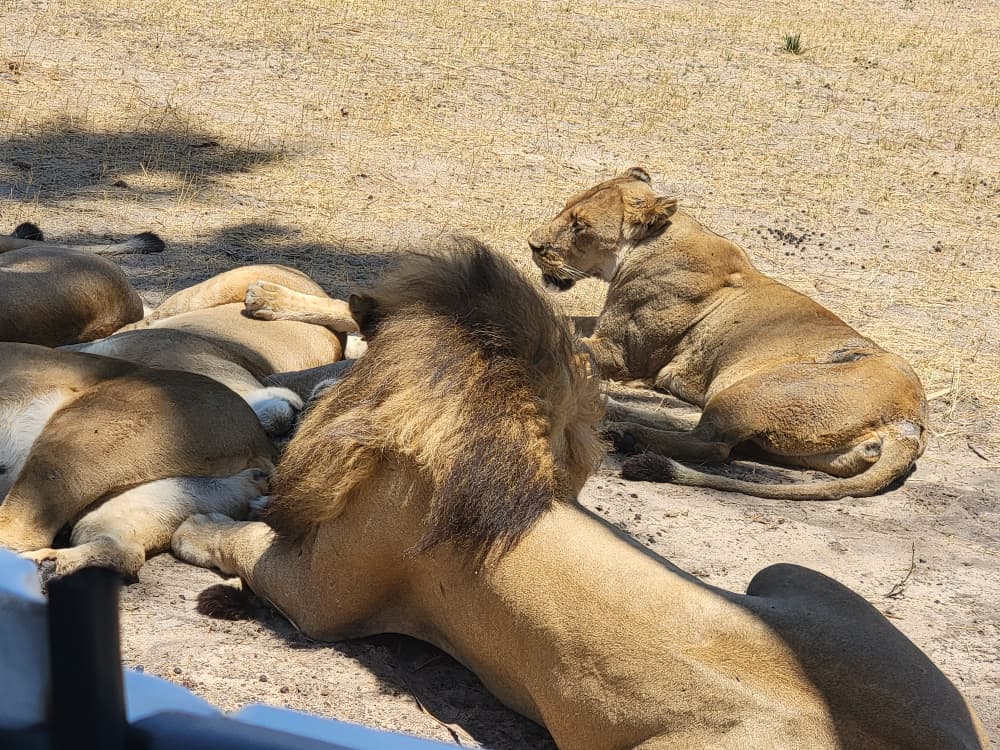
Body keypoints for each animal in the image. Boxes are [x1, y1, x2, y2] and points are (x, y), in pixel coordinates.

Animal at [527, 167, 929, 500]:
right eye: (568, 207)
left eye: (581, 225)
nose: (533, 245)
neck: (651, 244)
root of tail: (910, 419)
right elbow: (566, 321)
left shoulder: (622, 354)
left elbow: (571, 341)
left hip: (754, 391)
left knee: (712, 445)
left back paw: (627, 433)